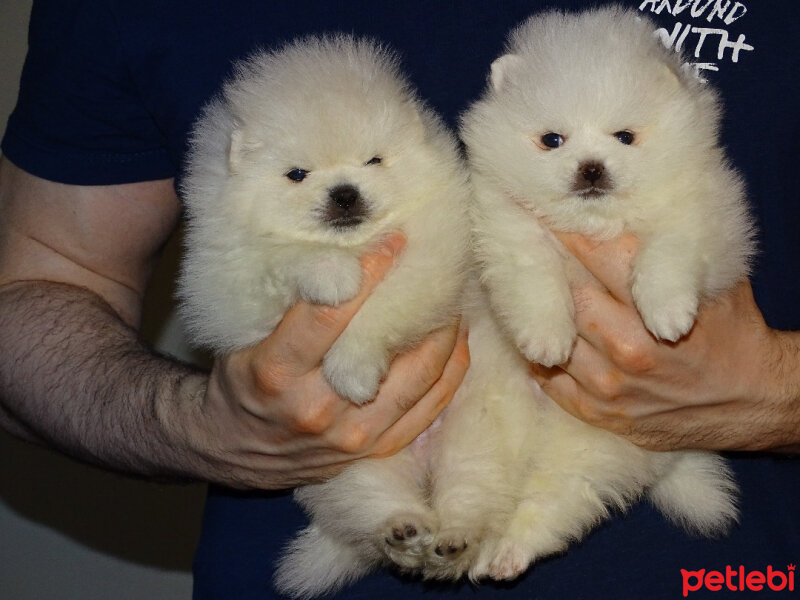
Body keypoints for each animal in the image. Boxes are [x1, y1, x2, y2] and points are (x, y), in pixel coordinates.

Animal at [428, 5, 748, 580]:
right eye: (552, 140)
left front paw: (667, 314)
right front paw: (547, 340)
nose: (591, 167)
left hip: (590, 449)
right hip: (482, 431)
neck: (595, 224)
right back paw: (480, 547)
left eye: (624, 137)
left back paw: (506, 551)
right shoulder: (507, 220)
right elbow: (534, 274)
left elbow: (668, 251)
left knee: (553, 501)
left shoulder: (700, 211)